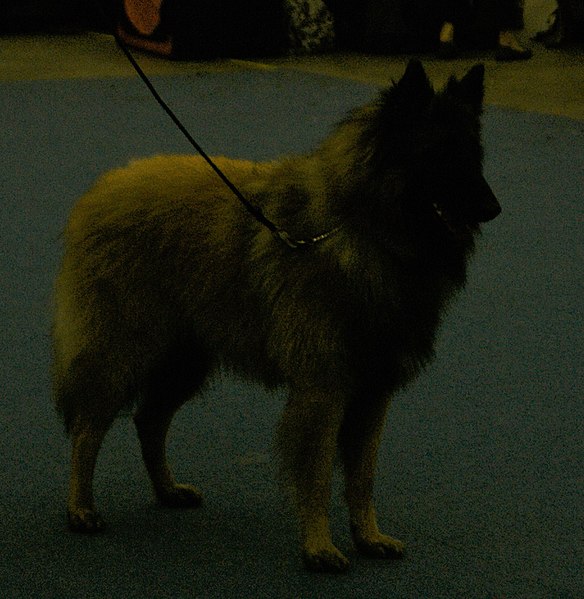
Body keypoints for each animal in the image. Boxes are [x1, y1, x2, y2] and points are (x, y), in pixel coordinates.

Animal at [52, 59, 502, 572]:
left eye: (473, 154)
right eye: (440, 154)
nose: (494, 208)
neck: (363, 230)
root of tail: (101, 188)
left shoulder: (373, 390)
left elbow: (362, 476)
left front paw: (368, 538)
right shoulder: (323, 388)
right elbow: (318, 474)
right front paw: (320, 547)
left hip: (184, 362)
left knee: (148, 420)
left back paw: (167, 491)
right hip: (123, 351)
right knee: (88, 427)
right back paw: (80, 509)